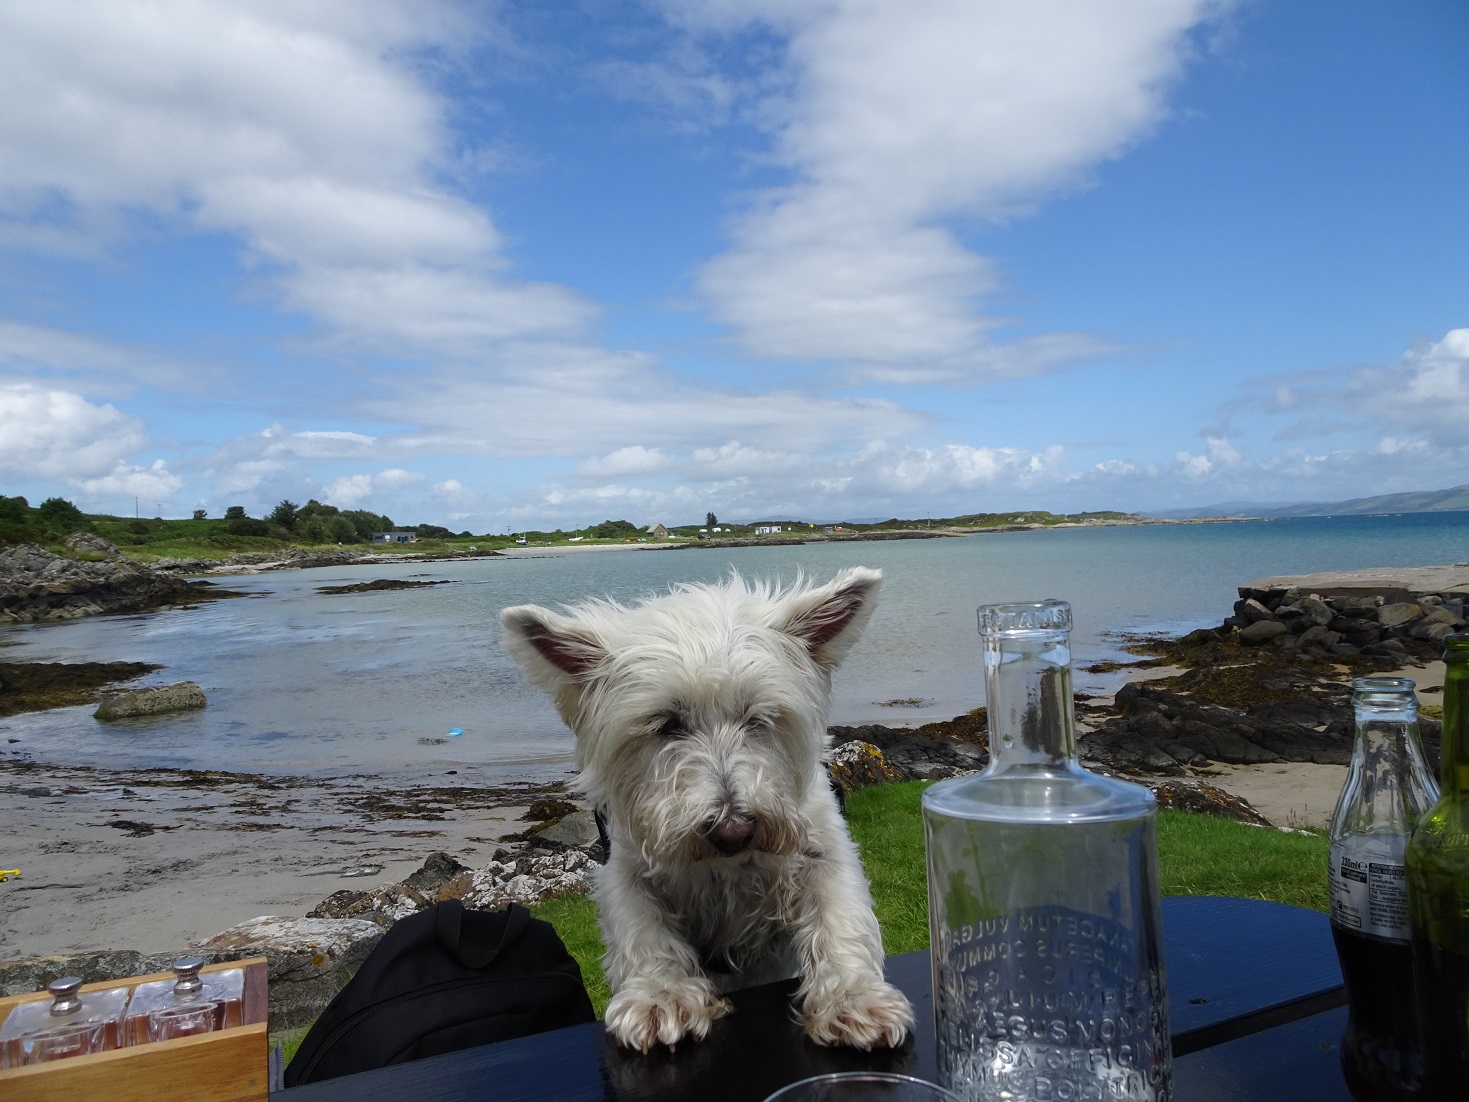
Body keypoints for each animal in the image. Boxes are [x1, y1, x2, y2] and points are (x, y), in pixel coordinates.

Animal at [511, 570, 910, 1052]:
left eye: (757, 718)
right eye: (666, 724)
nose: (733, 831)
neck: (728, 869)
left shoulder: (823, 847)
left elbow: (840, 917)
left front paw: (854, 998)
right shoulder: (625, 867)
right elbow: (642, 928)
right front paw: (661, 996)